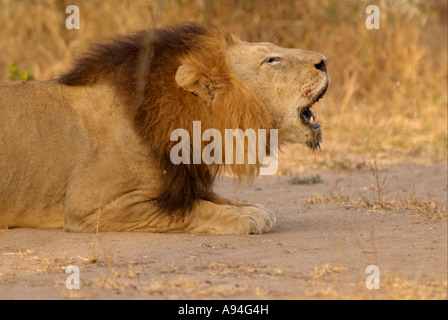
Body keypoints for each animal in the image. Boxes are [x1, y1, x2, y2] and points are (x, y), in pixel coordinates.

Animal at [0, 21, 328, 232]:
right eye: (272, 59)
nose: (324, 61)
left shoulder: (182, 180)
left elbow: (214, 197)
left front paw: (251, 208)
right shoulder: (92, 206)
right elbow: (192, 209)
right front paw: (242, 217)